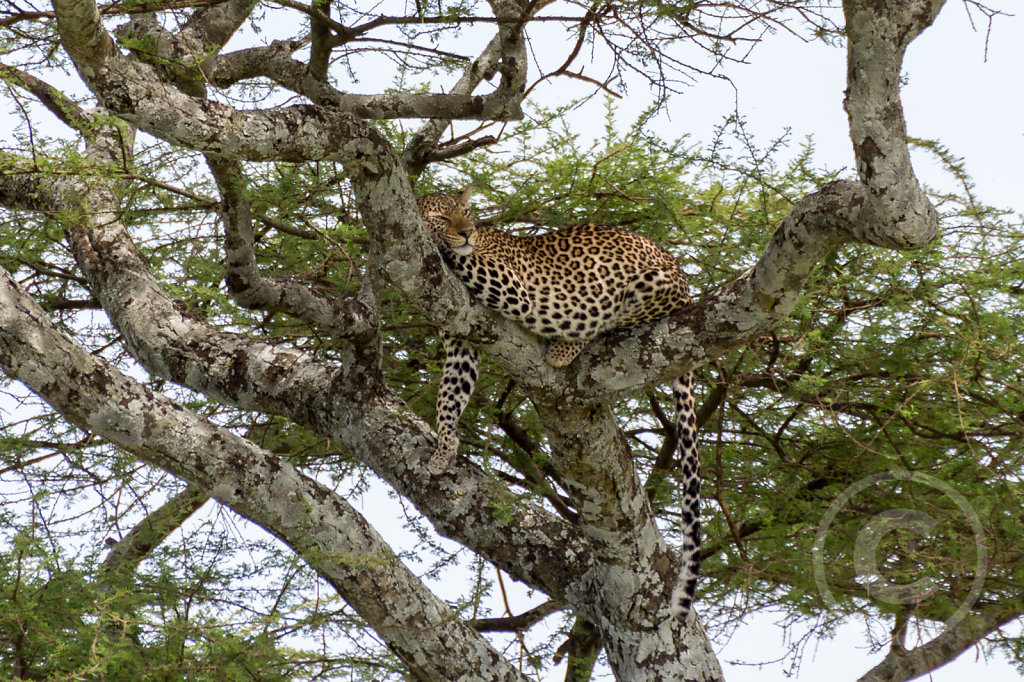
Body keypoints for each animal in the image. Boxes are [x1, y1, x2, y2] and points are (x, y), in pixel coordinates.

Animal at [419, 187, 700, 622]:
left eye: (465, 213)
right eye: (441, 217)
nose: (466, 233)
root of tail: (682, 275)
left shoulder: (508, 284)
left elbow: (460, 259)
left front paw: (449, 247)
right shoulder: (462, 339)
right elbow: (450, 395)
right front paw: (444, 448)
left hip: (650, 287)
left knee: (618, 317)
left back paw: (569, 343)